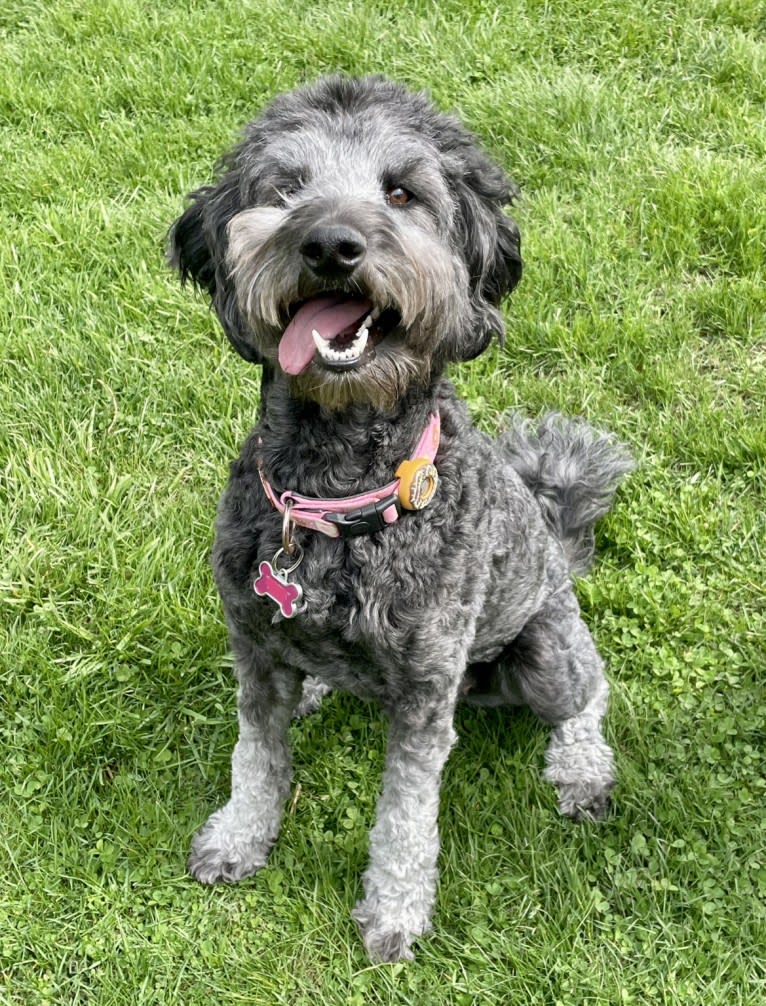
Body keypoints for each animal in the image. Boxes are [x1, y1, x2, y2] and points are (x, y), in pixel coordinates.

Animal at [169, 74, 632, 961]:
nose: (330, 244)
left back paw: (583, 771)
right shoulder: (252, 643)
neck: (335, 491)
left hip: (545, 651)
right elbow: (256, 755)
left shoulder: (424, 691)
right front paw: (241, 836)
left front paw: (394, 910)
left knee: (589, 694)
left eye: (401, 193)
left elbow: (405, 815)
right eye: (286, 190)